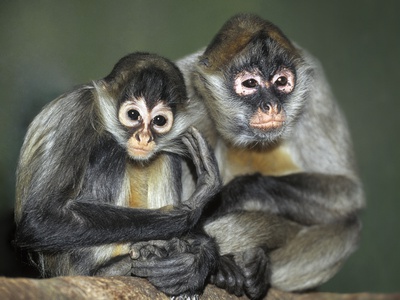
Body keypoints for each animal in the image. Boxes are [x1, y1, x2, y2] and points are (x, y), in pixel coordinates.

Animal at [14, 52, 222, 298]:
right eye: (133, 115)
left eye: (159, 121)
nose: (144, 137)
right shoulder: (78, 108)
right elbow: (41, 219)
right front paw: (190, 209)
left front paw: (198, 258)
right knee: (112, 148)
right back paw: (112, 269)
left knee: (164, 154)